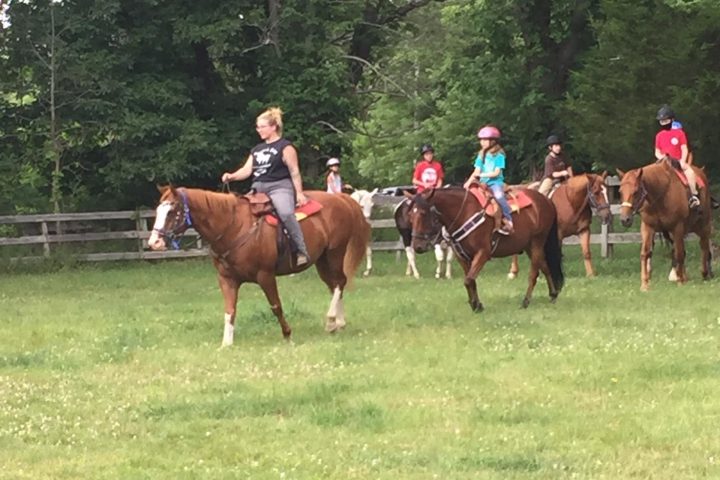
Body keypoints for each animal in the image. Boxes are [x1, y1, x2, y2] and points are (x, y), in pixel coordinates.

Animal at [148, 186, 370, 345]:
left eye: (172, 211)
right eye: (158, 209)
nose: (154, 242)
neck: (233, 227)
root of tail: (341, 198)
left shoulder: (265, 275)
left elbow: (276, 306)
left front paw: (287, 334)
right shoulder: (227, 279)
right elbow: (230, 310)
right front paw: (226, 343)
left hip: (335, 252)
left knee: (340, 282)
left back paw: (332, 320)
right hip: (321, 260)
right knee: (333, 285)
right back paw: (338, 323)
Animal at [407, 186, 564, 311]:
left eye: (423, 213)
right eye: (410, 216)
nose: (417, 246)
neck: (464, 213)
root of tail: (546, 200)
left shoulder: (483, 253)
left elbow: (468, 280)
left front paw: (475, 305)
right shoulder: (462, 256)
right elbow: (470, 280)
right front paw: (476, 304)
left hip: (537, 241)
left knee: (534, 273)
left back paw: (526, 301)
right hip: (528, 246)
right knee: (545, 267)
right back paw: (553, 295)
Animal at [617, 159, 713, 291]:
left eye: (636, 192)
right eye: (620, 192)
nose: (625, 219)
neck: (661, 194)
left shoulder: (677, 227)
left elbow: (679, 253)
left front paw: (680, 281)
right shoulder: (648, 227)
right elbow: (645, 253)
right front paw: (644, 284)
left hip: (703, 225)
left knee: (703, 246)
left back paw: (704, 273)